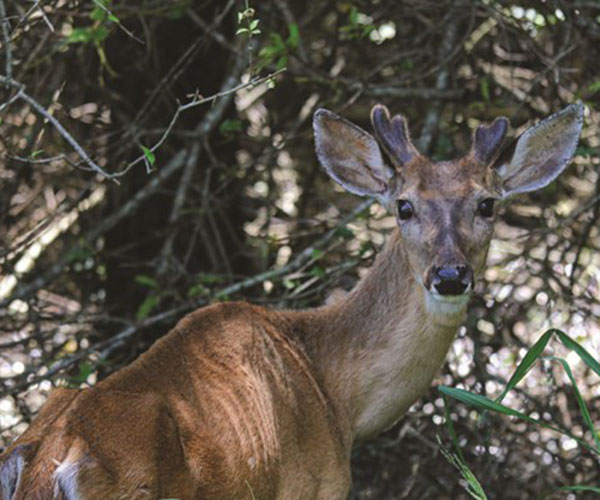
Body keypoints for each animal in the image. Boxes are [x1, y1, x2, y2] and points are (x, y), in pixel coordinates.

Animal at [0, 101, 580, 500]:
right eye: (404, 206)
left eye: (487, 204)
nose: (451, 275)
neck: (336, 395)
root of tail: (57, 459)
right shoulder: (314, 485)